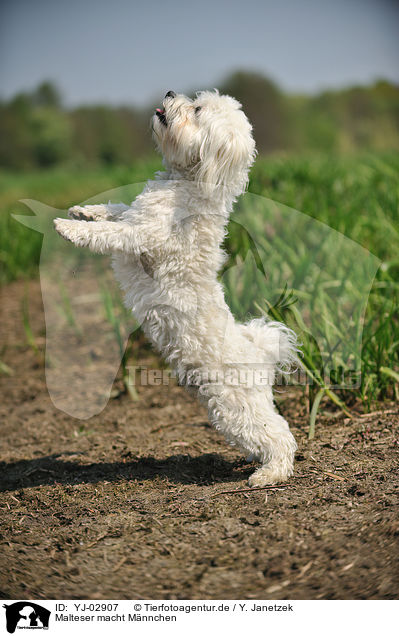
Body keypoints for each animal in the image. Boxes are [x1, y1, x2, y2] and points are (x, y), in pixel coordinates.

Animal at [54, 90, 298, 486]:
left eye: (196, 111)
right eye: (197, 99)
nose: (169, 93)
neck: (188, 183)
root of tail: (260, 353)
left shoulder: (140, 235)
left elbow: (109, 232)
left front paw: (68, 227)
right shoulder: (134, 216)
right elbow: (117, 208)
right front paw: (83, 210)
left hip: (235, 407)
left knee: (279, 436)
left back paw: (268, 474)